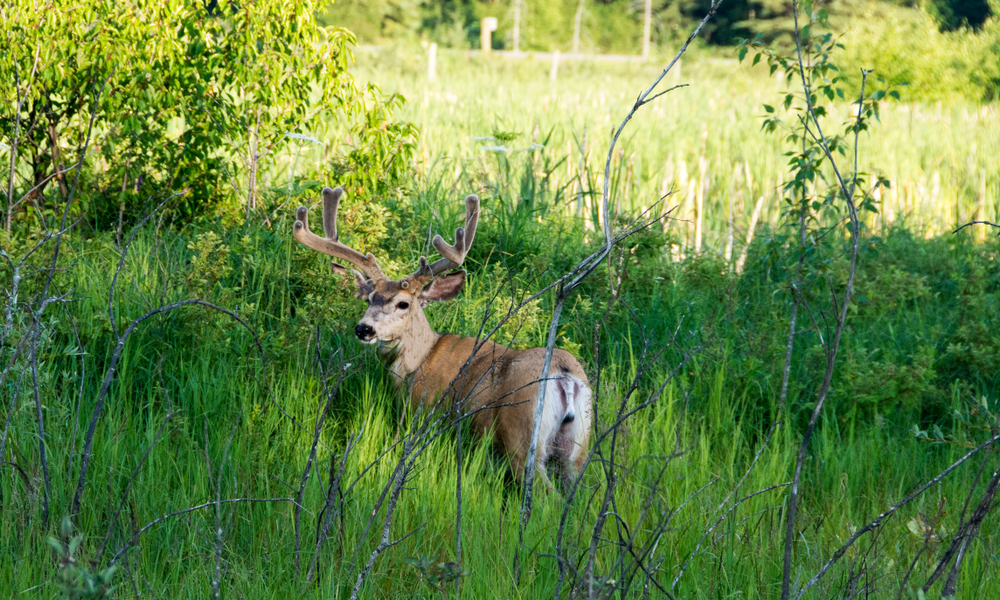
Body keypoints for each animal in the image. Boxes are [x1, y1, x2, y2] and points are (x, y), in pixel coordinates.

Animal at [293, 186, 592, 488]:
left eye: (403, 303)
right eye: (368, 298)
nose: (364, 329)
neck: (419, 359)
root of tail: (565, 376)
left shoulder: (419, 411)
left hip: (521, 433)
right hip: (577, 448)